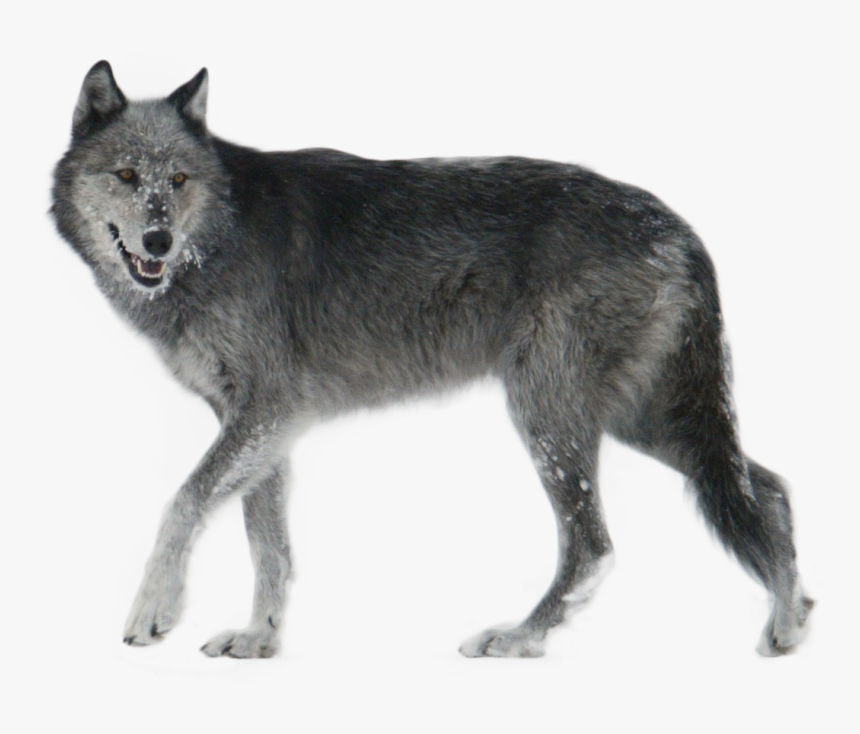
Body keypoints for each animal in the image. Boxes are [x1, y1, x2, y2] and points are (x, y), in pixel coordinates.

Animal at [52, 61, 812, 659]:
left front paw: (154, 611)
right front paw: (259, 640)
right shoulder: (261, 425)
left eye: (178, 180)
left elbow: (183, 502)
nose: (157, 240)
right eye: (127, 175)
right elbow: (268, 543)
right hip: (643, 421)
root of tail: (680, 227)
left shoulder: (267, 410)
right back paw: (789, 625)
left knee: (594, 546)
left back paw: (517, 639)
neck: (221, 237)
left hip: (553, 416)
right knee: (768, 488)